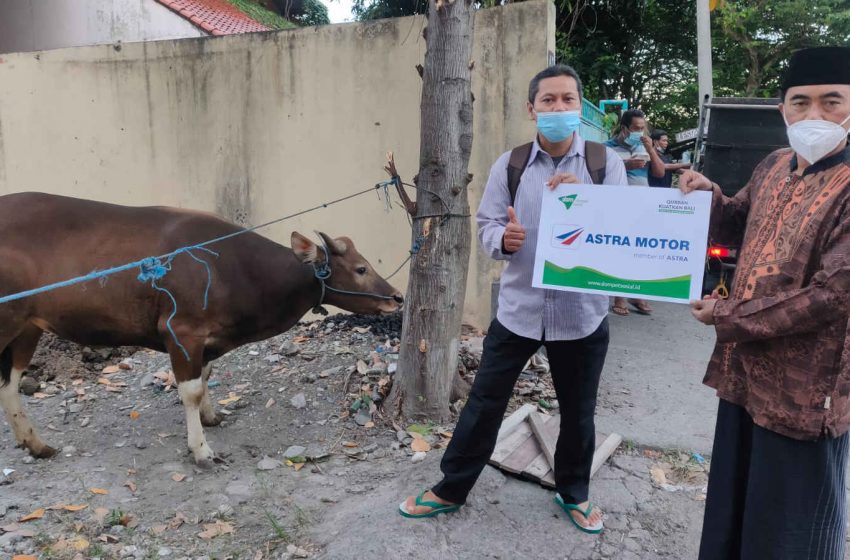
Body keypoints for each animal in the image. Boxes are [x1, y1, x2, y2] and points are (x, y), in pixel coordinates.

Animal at [0, 195, 402, 466]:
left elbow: (206, 377)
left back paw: (35, 444)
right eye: (361, 268)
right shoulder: (181, 333)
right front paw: (201, 449)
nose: (396, 297)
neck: (231, 268)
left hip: (27, 328)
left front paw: (212, 416)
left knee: (9, 385)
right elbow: (191, 391)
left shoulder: (206, 340)